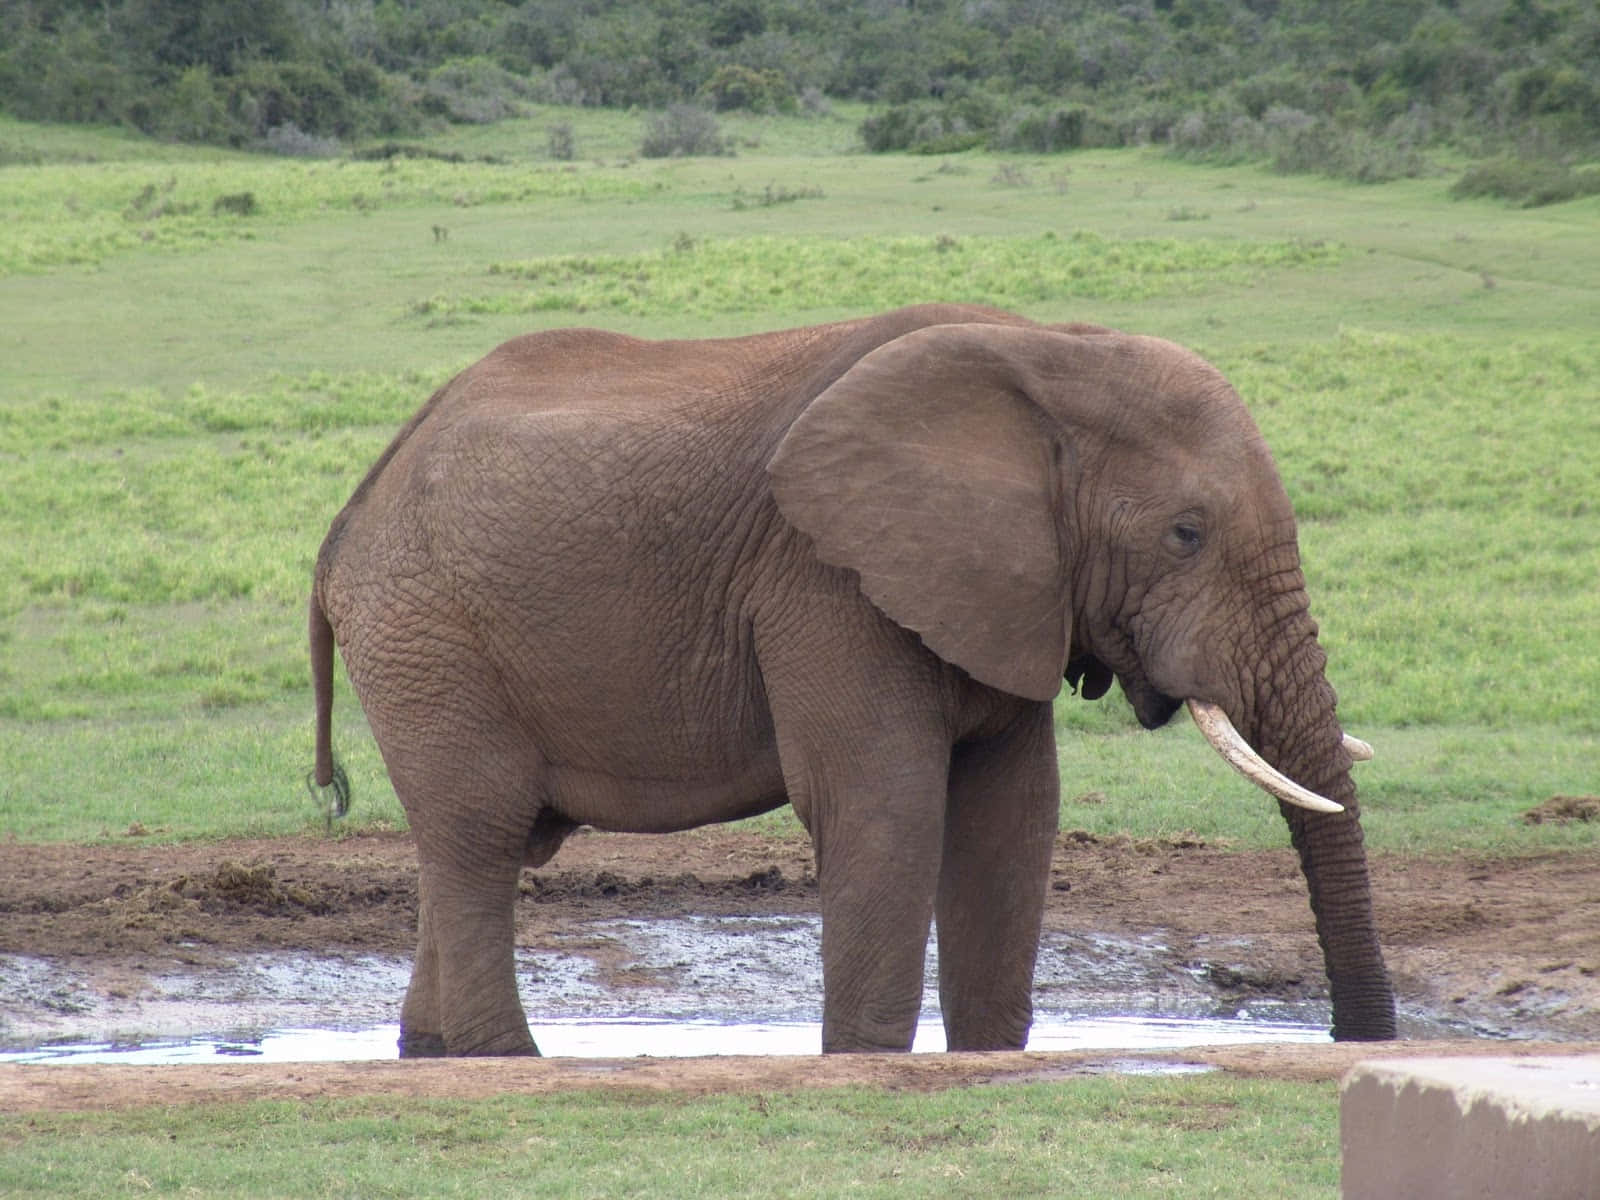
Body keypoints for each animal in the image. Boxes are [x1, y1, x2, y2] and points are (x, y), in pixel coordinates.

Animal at [308, 303, 1396, 1056]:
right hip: (428, 635)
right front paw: (867, 1060)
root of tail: (351, 514)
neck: (1050, 351)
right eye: (1185, 534)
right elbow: (885, 805)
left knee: (462, 847)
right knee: (480, 837)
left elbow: (1012, 815)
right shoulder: (828, 581)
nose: (1354, 1037)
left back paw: (429, 1052)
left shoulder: (999, 591)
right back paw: (508, 1060)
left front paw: (986, 1058)